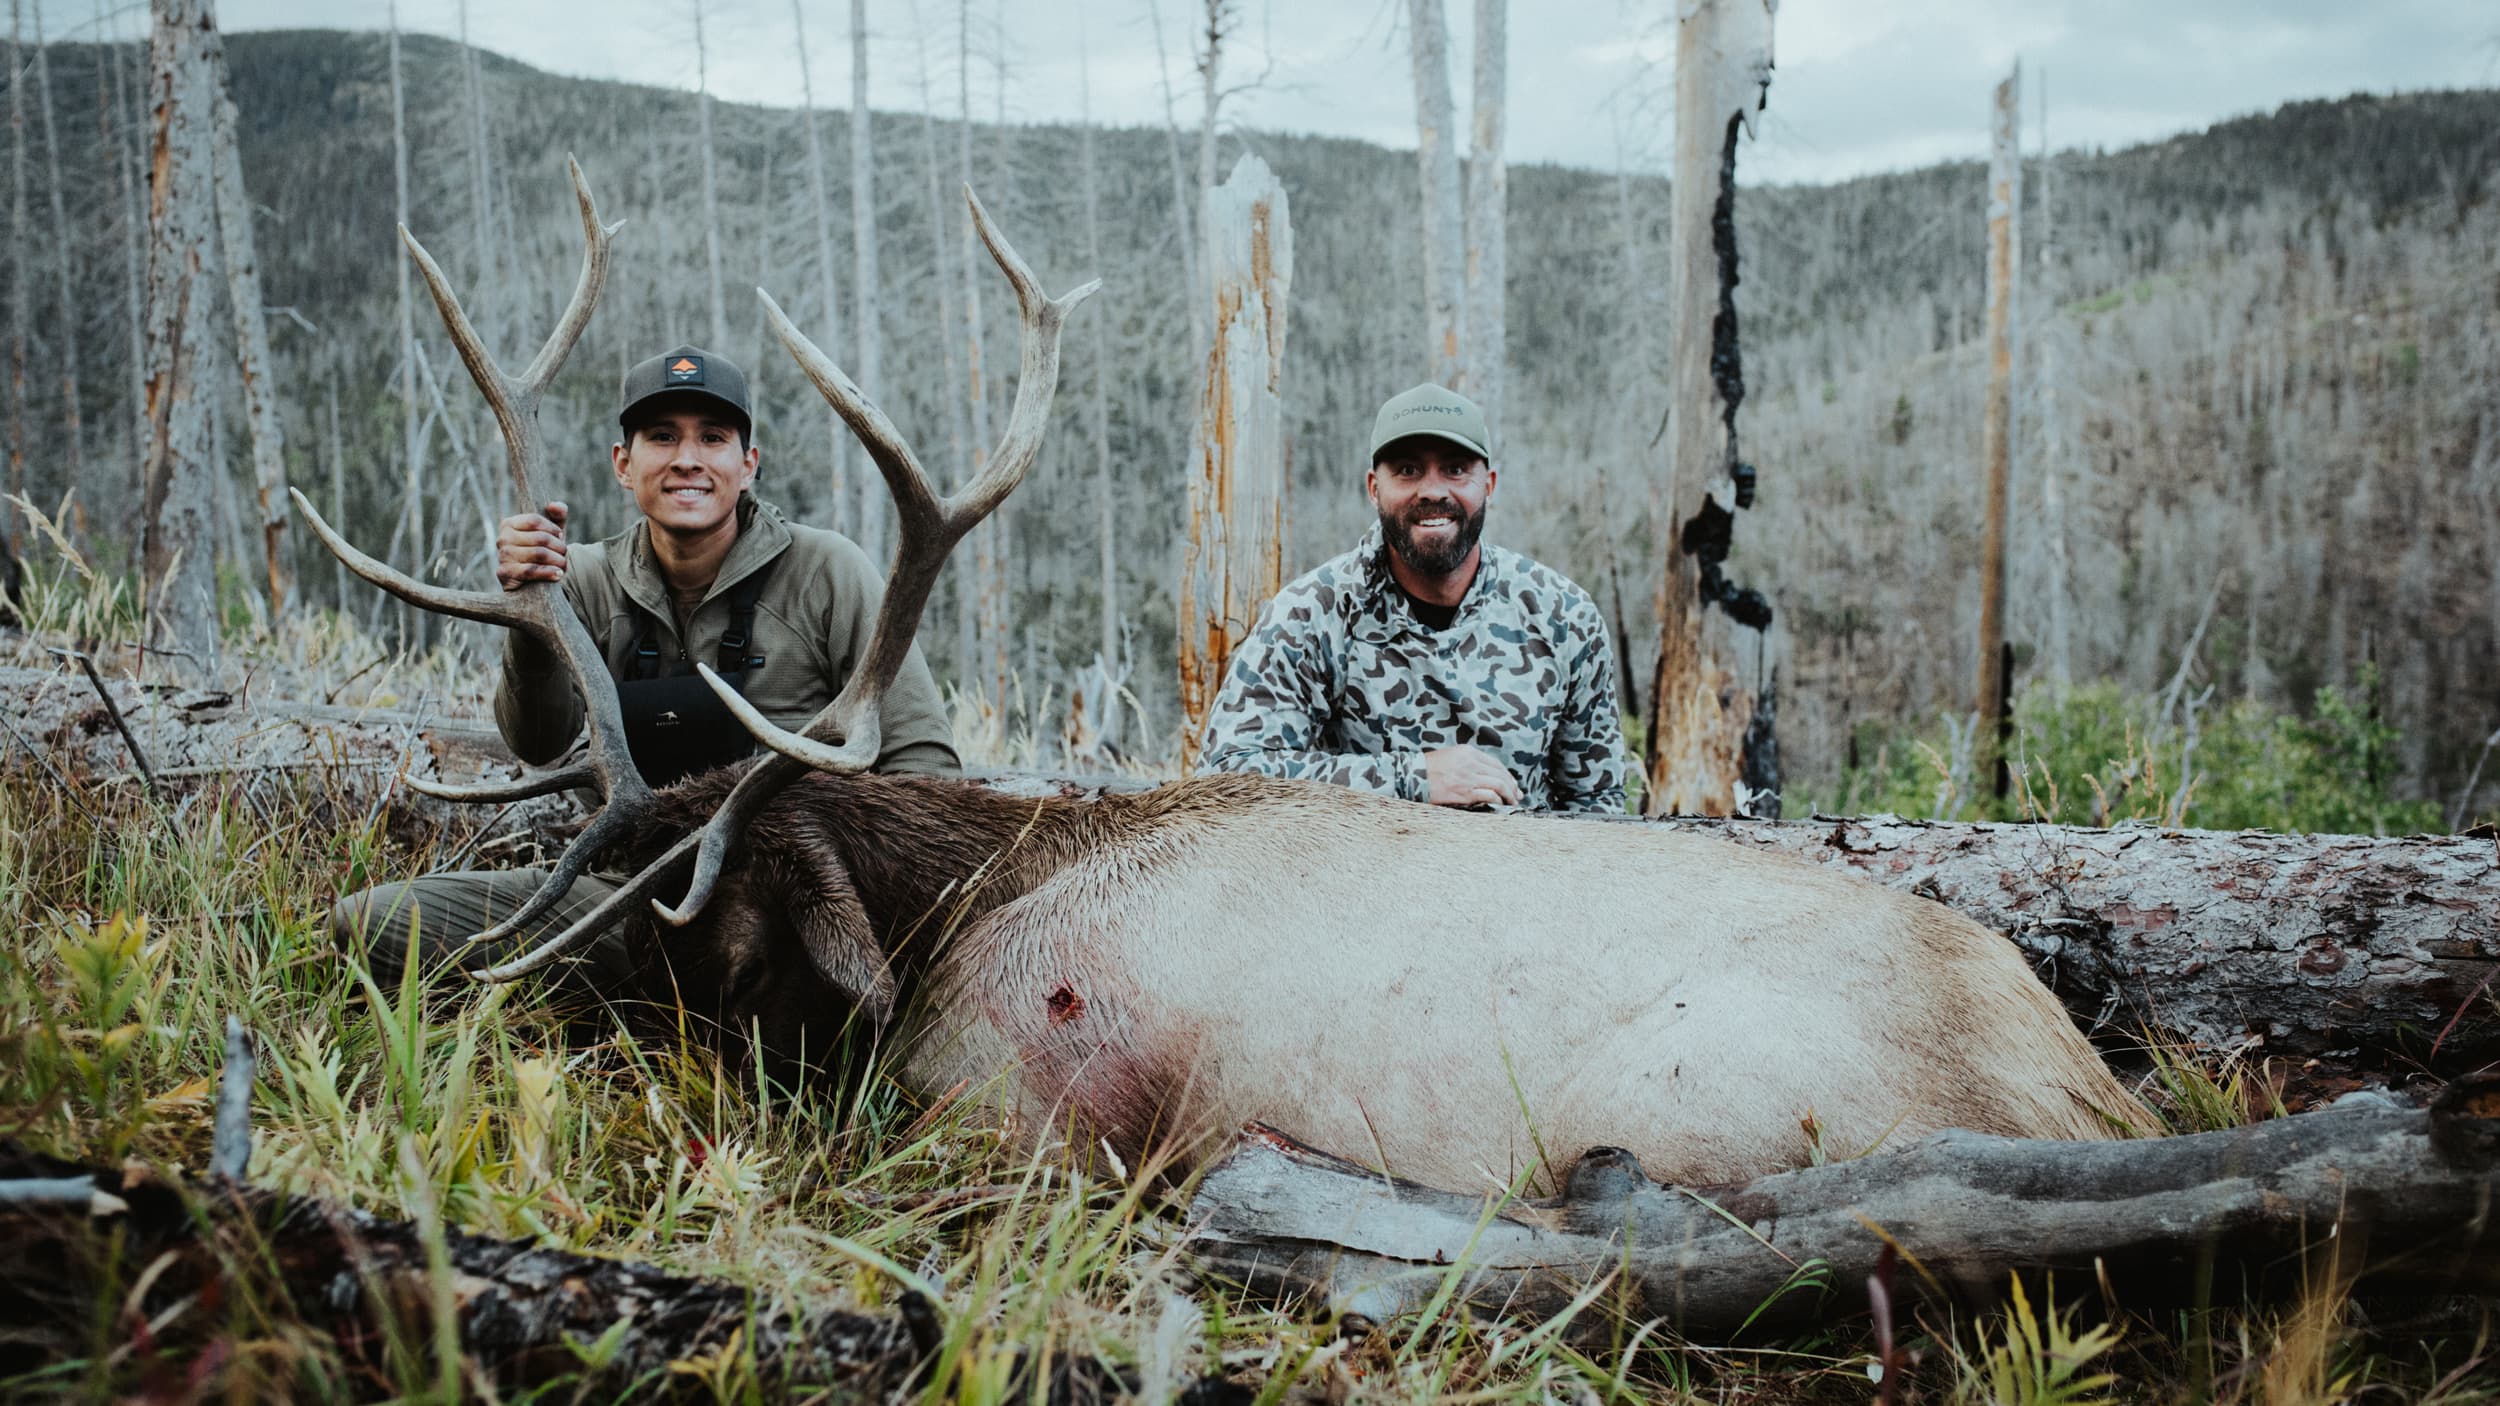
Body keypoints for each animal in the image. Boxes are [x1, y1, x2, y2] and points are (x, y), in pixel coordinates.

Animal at [302, 162, 2151, 1194]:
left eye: (668, 928)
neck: (956, 907)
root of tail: (2089, 1088)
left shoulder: (1010, 1099)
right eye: (583, 865)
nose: (430, 985)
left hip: (1697, 1102)